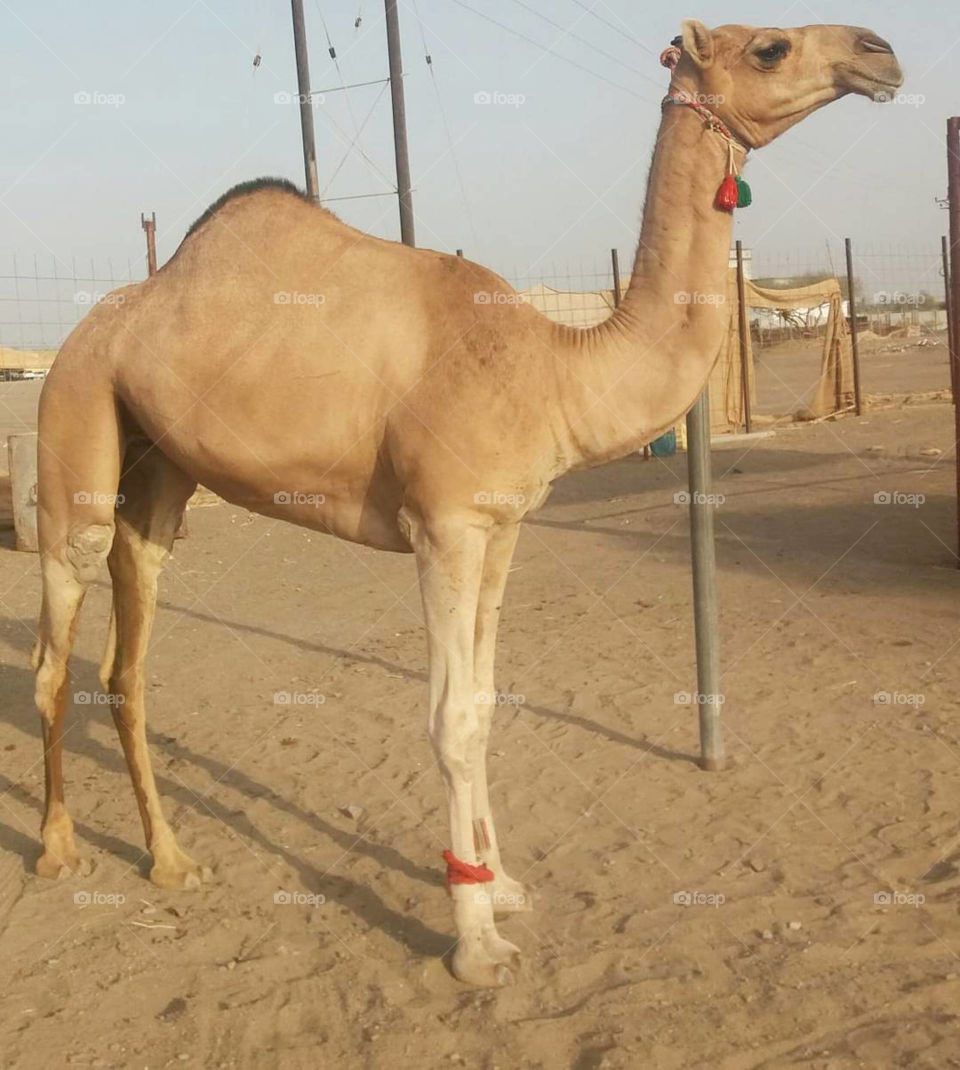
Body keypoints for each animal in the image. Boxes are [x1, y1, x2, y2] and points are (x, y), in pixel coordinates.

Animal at [31, 21, 902, 986]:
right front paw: (477, 943)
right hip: (75, 415)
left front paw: (502, 884)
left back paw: (171, 859)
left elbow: (484, 706)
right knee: (53, 650)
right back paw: (59, 848)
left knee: (127, 660)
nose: (880, 52)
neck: (555, 369)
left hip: (157, 473)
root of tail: (93, 327)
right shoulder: (443, 526)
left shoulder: (503, 525)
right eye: (770, 48)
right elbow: (450, 720)